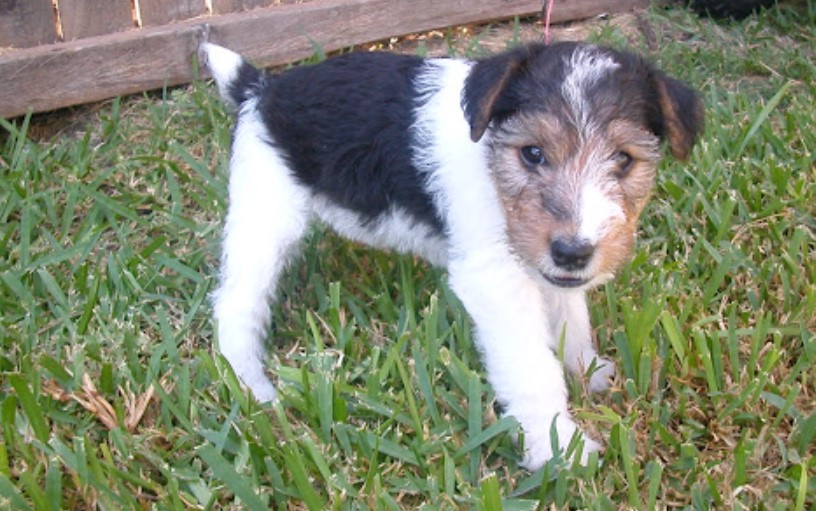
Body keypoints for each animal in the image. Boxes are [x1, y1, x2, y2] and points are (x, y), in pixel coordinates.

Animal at [201, 42, 704, 470]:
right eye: (532, 152)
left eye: (623, 159)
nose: (572, 252)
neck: (490, 154)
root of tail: (261, 89)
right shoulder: (495, 280)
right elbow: (531, 369)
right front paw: (559, 447)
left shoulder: (544, 267)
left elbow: (570, 319)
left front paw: (587, 370)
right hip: (264, 217)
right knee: (236, 306)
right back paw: (252, 386)